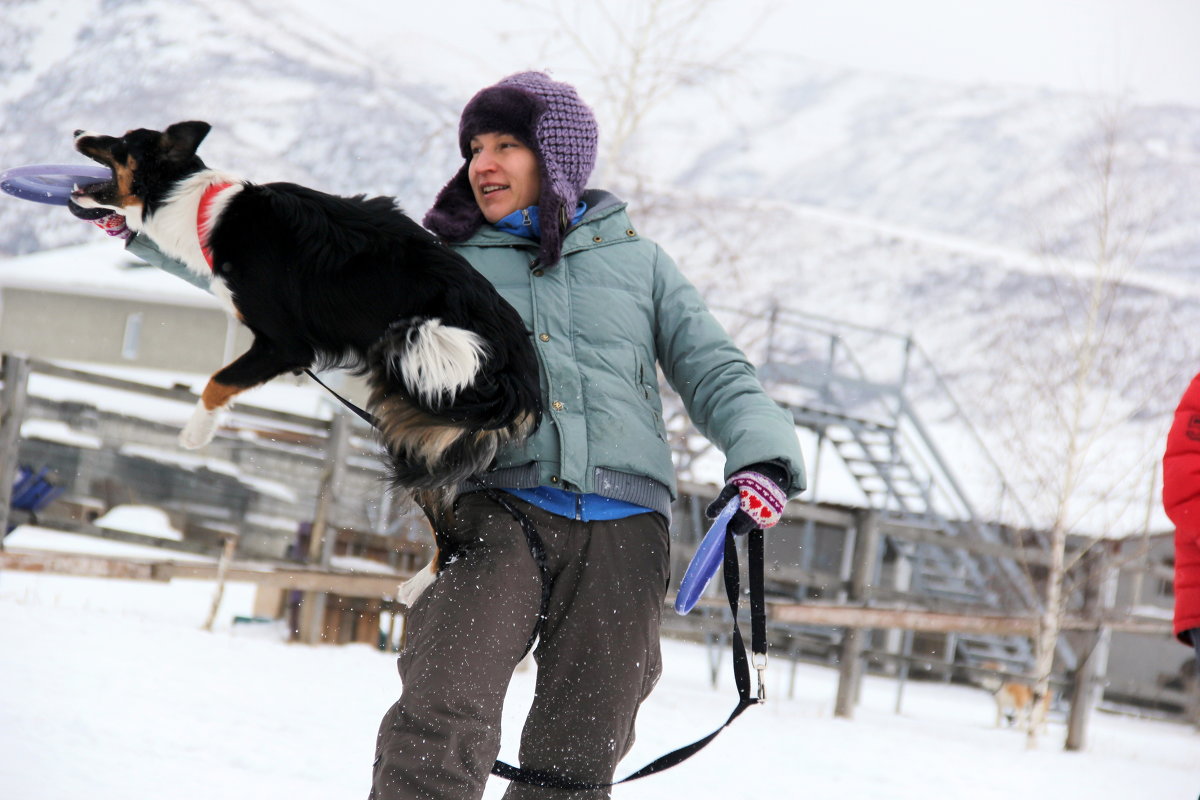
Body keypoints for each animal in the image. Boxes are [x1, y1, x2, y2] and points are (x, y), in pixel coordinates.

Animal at [72, 120, 542, 525]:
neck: (199, 206)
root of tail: (518, 369)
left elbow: (218, 381)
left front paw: (195, 434)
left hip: (418, 370)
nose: (77, 131)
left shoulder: (284, 344)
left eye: (121, 143)